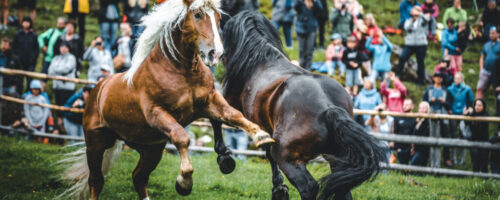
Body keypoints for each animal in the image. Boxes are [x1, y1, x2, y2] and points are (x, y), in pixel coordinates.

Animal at [60, 0, 276, 199]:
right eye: (197, 15)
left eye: (218, 18)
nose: (216, 53)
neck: (181, 70)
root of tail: (98, 89)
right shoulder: (156, 113)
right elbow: (182, 138)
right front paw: (184, 182)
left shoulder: (209, 101)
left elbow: (233, 115)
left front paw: (261, 137)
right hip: (95, 143)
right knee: (96, 180)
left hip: (151, 148)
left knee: (139, 177)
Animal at [211, 11, 386, 199]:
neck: (258, 60)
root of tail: (329, 108)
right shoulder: (266, 128)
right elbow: (267, 150)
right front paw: (279, 188)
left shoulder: (232, 107)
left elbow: (215, 118)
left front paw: (225, 159)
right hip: (337, 159)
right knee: (342, 189)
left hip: (288, 157)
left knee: (308, 186)